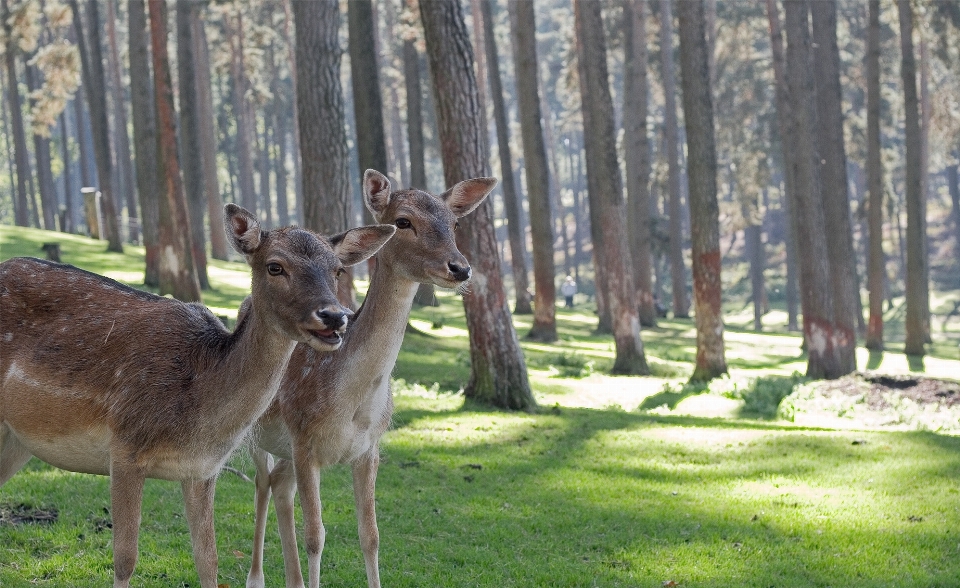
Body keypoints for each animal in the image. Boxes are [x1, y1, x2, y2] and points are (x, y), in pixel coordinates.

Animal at [0, 203, 398, 588]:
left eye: (338, 270)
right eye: (275, 266)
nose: (334, 316)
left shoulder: (202, 470)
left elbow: (209, 562)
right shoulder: (124, 446)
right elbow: (125, 560)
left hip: (16, 439)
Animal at [246, 170, 496, 588]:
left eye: (455, 223)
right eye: (403, 222)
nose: (460, 268)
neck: (352, 403)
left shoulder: (369, 447)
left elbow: (372, 536)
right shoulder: (303, 438)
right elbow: (316, 536)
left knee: (279, 485)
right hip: (254, 431)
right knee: (262, 485)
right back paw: (255, 577)